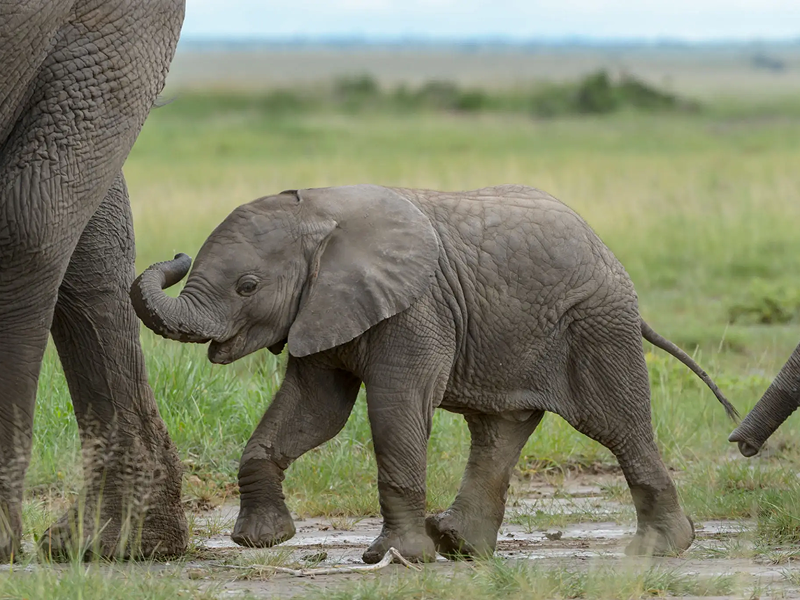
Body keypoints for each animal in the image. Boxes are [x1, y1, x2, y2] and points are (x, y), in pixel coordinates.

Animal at [131, 184, 737, 563]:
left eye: (248, 286)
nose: (177, 255)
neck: (321, 213)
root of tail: (606, 250)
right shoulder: (323, 307)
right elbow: (313, 412)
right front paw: (261, 541)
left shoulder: (415, 309)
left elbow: (395, 410)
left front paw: (395, 558)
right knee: (498, 430)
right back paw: (459, 545)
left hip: (596, 323)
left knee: (618, 425)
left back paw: (659, 549)